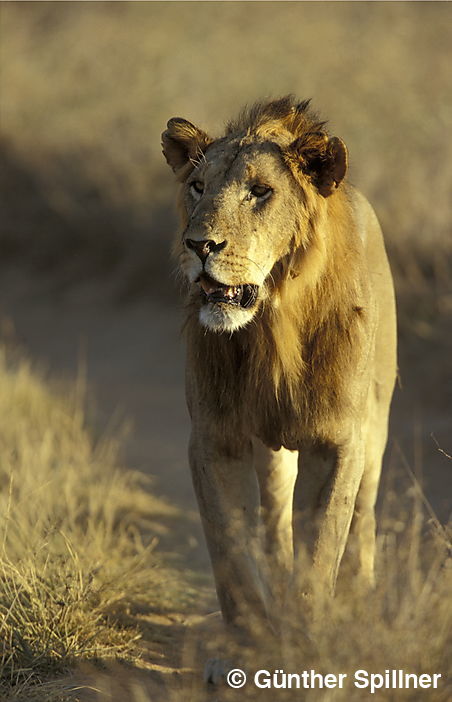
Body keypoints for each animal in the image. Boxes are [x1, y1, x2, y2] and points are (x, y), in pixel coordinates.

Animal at [162, 96, 396, 680]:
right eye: (197, 186)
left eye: (260, 191)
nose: (198, 245)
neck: (271, 326)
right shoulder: (215, 439)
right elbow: (231, 549)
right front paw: (248, 643)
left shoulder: (337, 441)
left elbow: (323, 549)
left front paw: (308, 645)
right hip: (271, 452)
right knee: (275, 522)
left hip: (376, 427)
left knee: (363, 517)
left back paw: (359, 602)